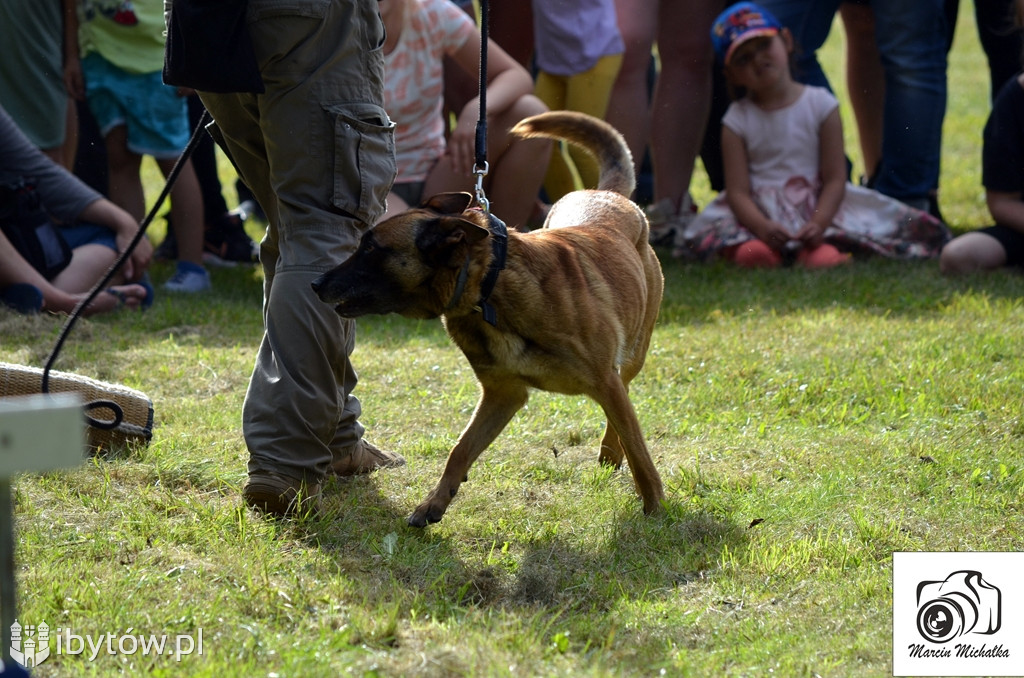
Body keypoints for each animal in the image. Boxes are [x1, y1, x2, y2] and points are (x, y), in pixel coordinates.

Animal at [311, 111, 663, 528]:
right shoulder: (502, 395)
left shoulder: (604, 381)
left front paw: (657, 508)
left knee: (624, 406)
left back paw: (614, 453)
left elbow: (639, 450)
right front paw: (433, 503)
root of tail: (608, 194)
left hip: (633, 355)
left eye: (370, 248)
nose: (316, 283)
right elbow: (460, 449)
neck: (487, 290)